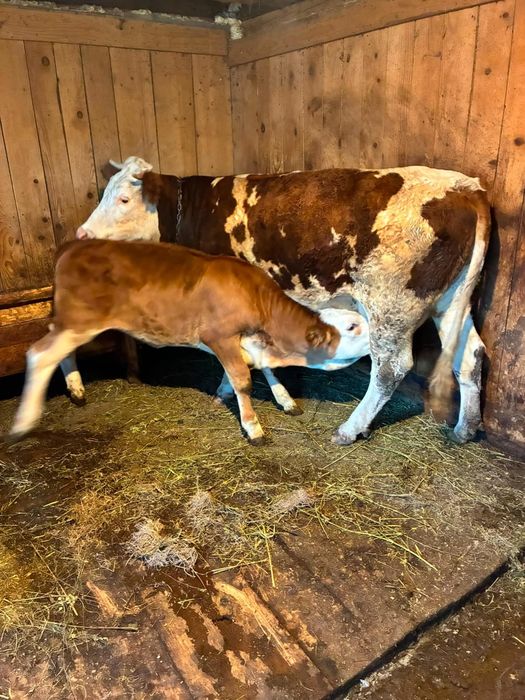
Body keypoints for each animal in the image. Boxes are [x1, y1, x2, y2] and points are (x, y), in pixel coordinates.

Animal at [9, 240, 368, 444]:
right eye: (353, 326)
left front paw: (283, 400)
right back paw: (24, 423)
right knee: (39, 354)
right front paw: (253, 428)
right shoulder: (219, 335)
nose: (380, 339)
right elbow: (243, 379)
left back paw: (76, 390)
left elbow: (261, 371)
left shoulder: (247, 342)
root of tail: (71, 246)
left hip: (73, 323)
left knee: (60, 352)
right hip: (80, 320)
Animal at [76, 157, 491, 445]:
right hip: (451, 301)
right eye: (102, 194)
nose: (83, 235)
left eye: (124, 199)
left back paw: (349, 428)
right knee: (470, 355)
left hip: (393, 305)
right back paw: (465, 429)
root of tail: (464, 186)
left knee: (390, 368)